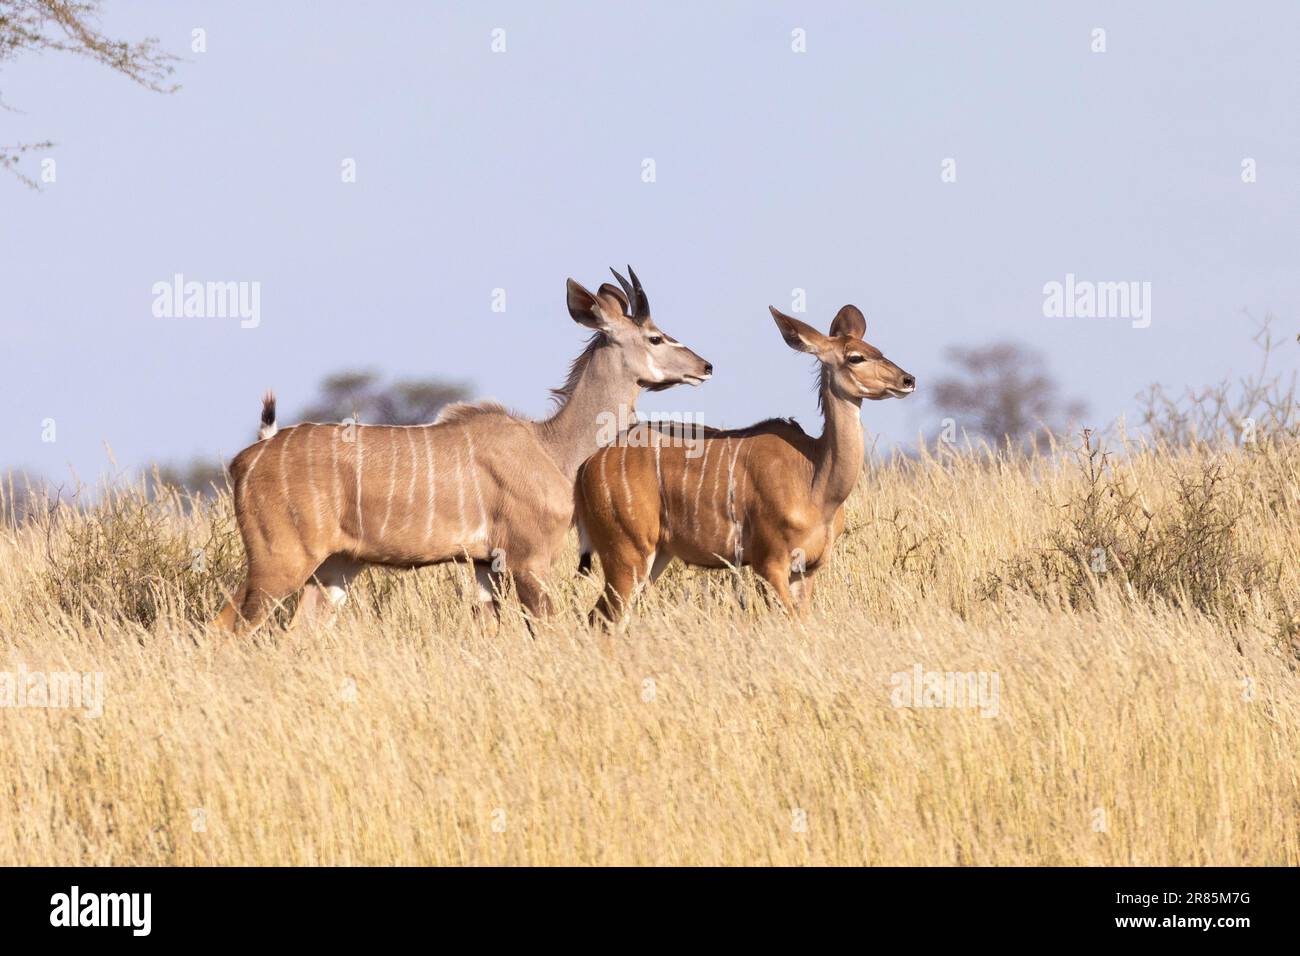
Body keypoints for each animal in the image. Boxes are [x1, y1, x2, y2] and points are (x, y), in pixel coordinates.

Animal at [218, 267, 717, 634]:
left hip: (335, 568)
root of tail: (246, 460)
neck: (552, 447)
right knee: (228, 627)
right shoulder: (528, 560)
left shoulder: (484, 567)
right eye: (655, 337)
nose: (706, 366)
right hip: (279, 562)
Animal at [579, 303, 915, 624]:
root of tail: (587, 467)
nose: (908, 380)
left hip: (656, 555)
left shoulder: (807, 570)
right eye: (856, 357)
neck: (817, 483)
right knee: (601, 617)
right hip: (628, 552)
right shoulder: (770, 563)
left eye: (878, 349)